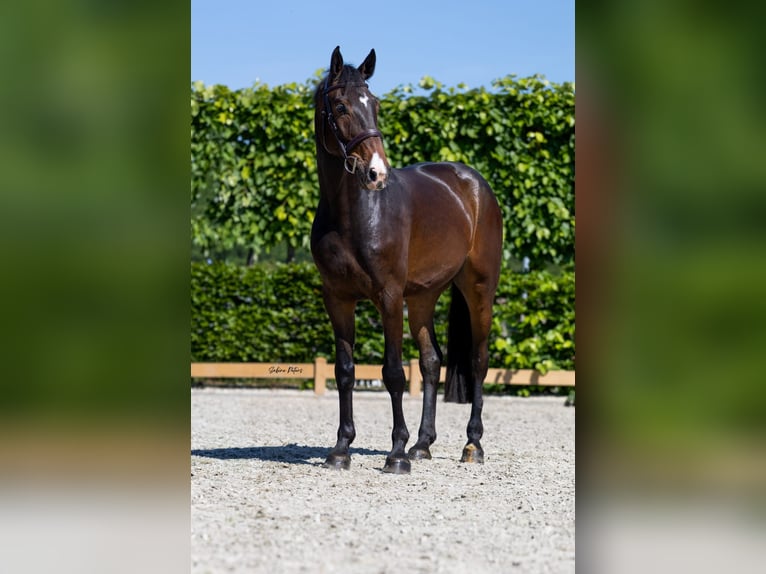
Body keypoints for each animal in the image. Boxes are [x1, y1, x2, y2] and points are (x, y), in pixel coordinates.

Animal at [311, 46, 503, 474]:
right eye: (341, 106)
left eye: (376, 105)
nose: (376, 173)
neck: (355, 213)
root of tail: (473, 183)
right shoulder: (337, 298)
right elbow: (344, 371)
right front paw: (341, 449)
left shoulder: (389, 296)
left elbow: (394, 372)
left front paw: (395, 453)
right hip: (423, 297)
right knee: (432, 362)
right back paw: (423, 444)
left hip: (479, 288)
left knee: (478, 360)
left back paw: (472, 445)